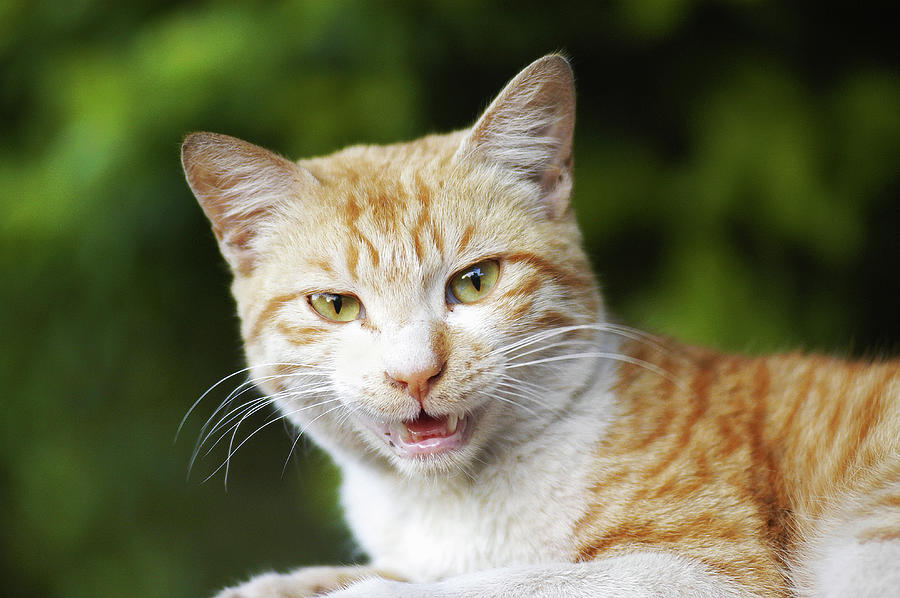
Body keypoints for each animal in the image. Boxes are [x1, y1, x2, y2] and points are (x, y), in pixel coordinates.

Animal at [181, 56, 900, 598]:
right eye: (335, 305)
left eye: (475, 282)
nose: (415, 374)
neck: (448, 506)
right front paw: (286, 585)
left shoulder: (704, 568)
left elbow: (507, 581)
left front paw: (363, 590)